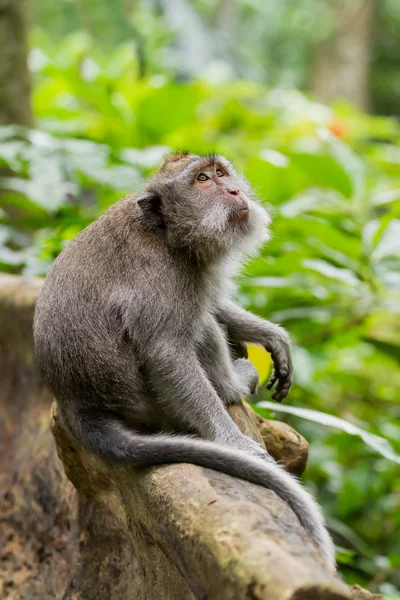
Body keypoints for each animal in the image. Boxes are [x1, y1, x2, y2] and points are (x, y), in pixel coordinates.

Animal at [33, 150, 334, 568]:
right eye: (203, 180)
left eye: (221, 173)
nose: (234, 191)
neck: (168, 236)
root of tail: (77, 401)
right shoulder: (162, 279)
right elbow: (167, 353)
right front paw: (232, 441)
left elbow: (214, 302)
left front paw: (271, 335)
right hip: (149, 403)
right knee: (199, 326)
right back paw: (232, 386)